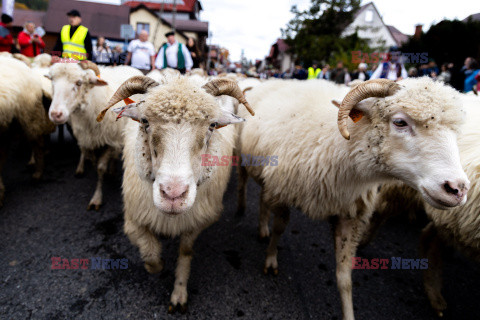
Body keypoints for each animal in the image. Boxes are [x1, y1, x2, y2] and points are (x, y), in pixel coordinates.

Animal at [47, 61, 142, 210]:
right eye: (52, 80)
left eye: (79, 82)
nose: (56, 114)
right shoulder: (88, 139)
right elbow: (92, 161)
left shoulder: (109, 140)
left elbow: (100, 168)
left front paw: (97, 198)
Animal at [96, 74, 255, 312]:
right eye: (145, 121)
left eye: (212, 125)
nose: (173, 195)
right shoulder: (135, 219)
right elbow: (151, 257)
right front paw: (157, 264)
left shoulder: (196, 221)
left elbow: (185, 252)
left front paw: (179, 293)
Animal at [236, 77, 468, 320]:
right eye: (400, 122)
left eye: (455, 132)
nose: (457, 189)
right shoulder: (282, 191)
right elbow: (280, 229)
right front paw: (271, 258)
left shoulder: (350, 215)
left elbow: (345, 277)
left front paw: (348, 312)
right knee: (245, 182)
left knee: (262, 197)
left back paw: (262, 226)